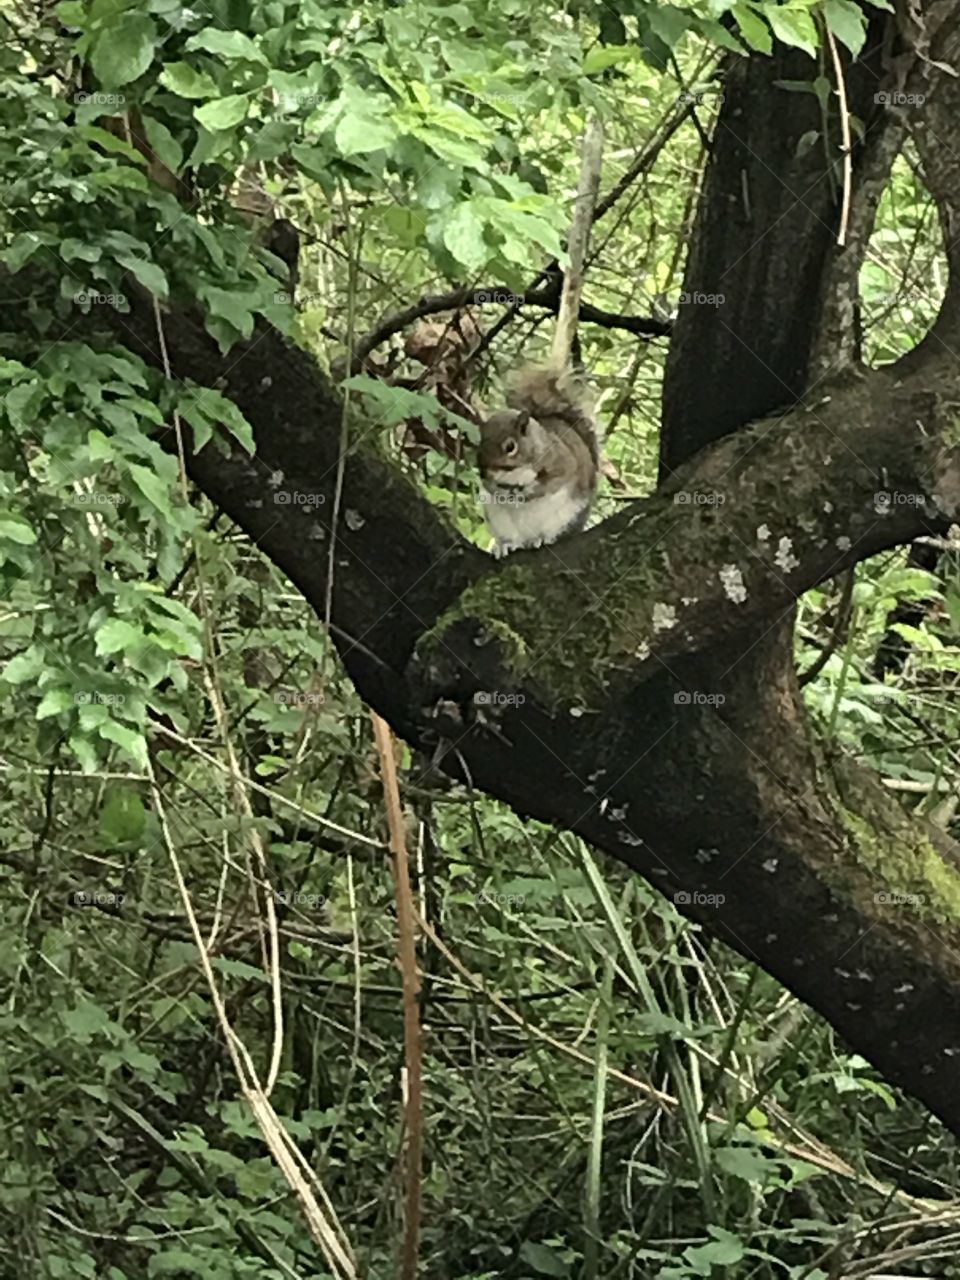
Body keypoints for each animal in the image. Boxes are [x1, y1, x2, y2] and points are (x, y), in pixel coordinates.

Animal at [478, 117, 604, 558]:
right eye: (476, 441)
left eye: (510, 446)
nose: (485, 471)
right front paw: (497, 489)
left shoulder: (561, 465)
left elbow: (547, 483)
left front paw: (522, 490)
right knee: (508, 537)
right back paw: (504, 545)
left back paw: (542, 537)